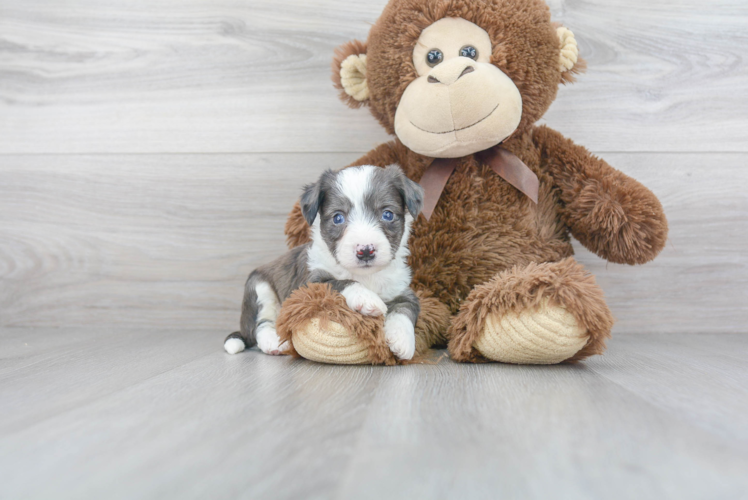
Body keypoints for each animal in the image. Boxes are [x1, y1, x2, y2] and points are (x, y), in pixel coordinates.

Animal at [222, 166, 424, 362]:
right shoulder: (309, 285)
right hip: (258, 287)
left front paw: (402, 340)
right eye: (338, 218)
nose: (365, 251)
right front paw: (365, 297)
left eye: (387, 214)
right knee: (260, 325)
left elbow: (406, 310)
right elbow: (339, 282)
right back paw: (274, 343)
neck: (365, 276)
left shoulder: (402, 290)